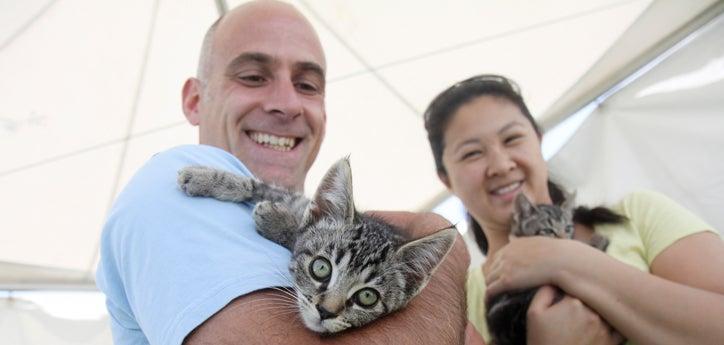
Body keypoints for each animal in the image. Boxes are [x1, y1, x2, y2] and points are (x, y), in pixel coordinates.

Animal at [177, 157, 456, 332]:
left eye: (367, 297)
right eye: (321, 268)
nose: (325, 311)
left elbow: (295, 231)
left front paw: (276, 221)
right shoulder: (299, 200)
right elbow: (265, 187)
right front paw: (204, 178)